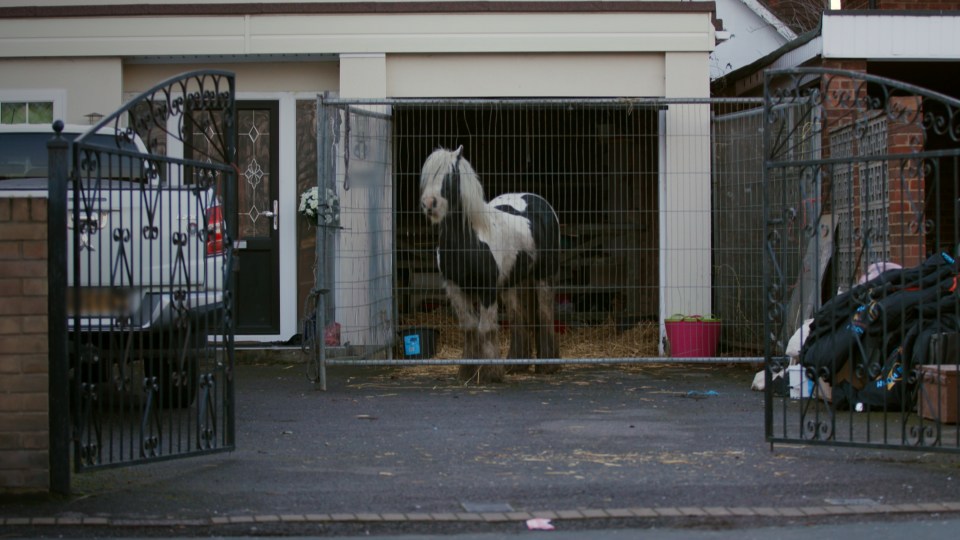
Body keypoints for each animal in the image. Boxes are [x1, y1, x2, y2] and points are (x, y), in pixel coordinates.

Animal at [420, 146, 564, 382]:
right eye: (426, 176)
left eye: (450, 175)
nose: (429, 204)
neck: (469, 241)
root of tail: (537, 201)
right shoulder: (454, 288)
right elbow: (469, 327)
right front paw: (468, 372)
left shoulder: (486, 289)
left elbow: (486, 328)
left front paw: (491, 373)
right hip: (509, 283)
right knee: (517, 316)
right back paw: (516, 364)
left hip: (544, 274)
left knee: (545, 312)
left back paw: (547, 365)